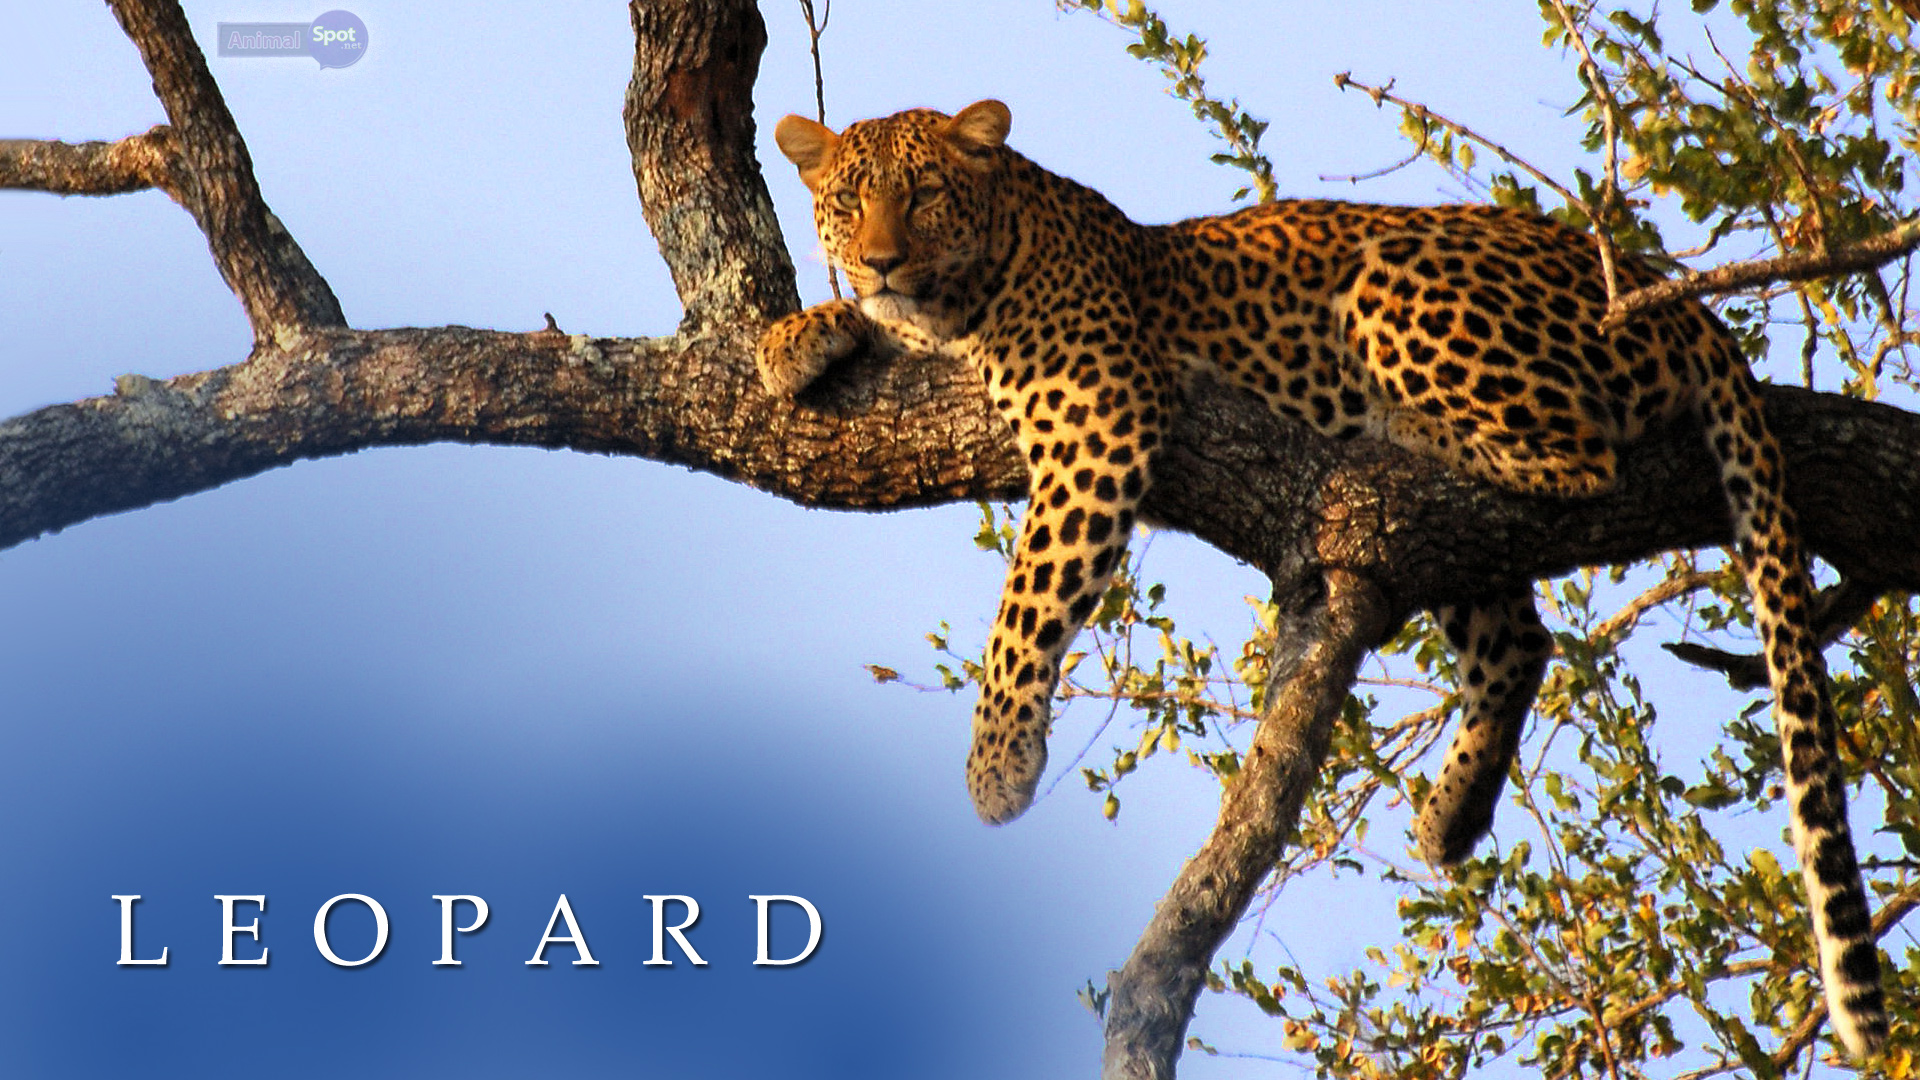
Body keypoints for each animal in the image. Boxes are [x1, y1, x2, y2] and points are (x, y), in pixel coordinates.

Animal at [755, 99, 1887, 1058]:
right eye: (850, 200)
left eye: (925, 192)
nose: (881, 261)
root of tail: (1668, 295)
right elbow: (855, 331)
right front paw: (794, 336)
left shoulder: (1096, 418)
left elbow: (1025, 605)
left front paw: (998, 765)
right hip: (1455, 542)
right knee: (1518, 634)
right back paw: (1452, 814)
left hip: (1396, 281)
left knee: (1578, 458)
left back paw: (1398, 428)